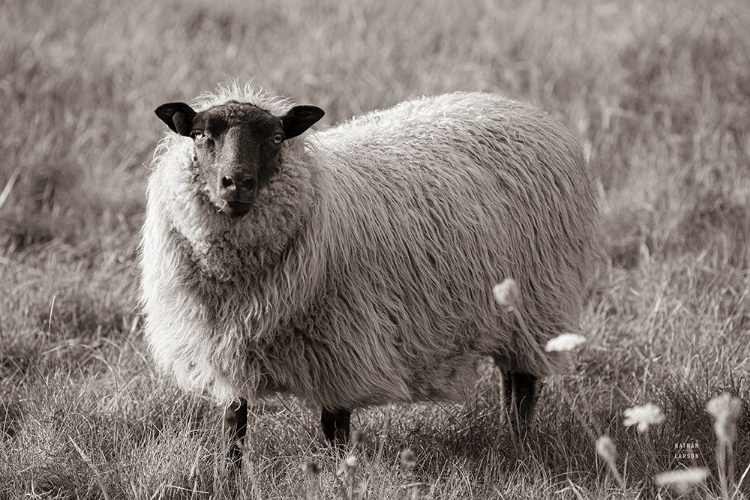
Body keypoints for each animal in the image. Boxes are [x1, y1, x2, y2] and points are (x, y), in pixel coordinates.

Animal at [141, 83, 600, 464]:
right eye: (202, 134)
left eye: (275, 138)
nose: (236, 183)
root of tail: (520, 108)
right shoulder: (225, 350)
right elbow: (234, 427)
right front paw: (230, 477)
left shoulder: (341, 348)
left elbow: (335, 430)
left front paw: (335, 477)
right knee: (511, 381)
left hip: (538, 300)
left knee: (522, 384)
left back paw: (518, 443)